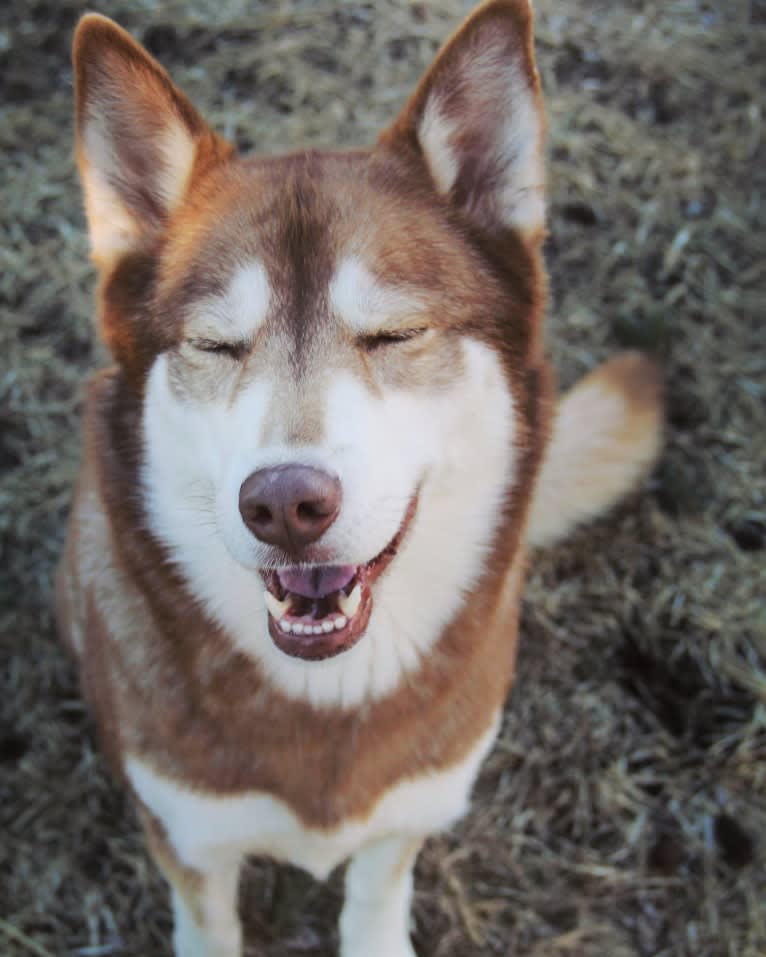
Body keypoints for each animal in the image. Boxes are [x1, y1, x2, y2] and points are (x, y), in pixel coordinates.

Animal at [55, 3, 664, 952]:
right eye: (216, 346)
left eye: (395, 334)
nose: (284, 505)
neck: (327, 696)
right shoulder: (188, 834)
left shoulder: (416, 801)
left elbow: (379, 885)